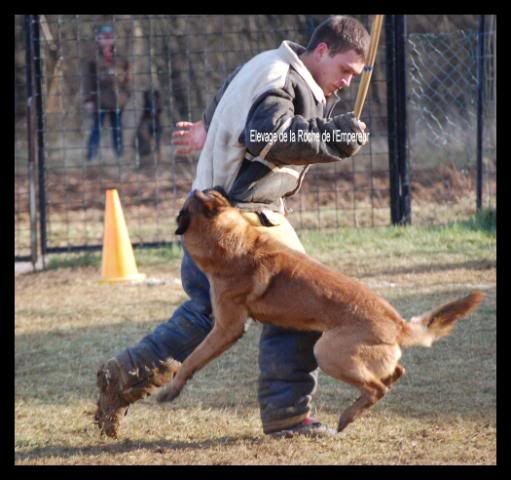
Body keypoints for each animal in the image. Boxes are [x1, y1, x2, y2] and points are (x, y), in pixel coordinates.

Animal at [158, 188, 486, 436]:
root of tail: (398, 325)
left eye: (185, 206)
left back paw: (346, 418)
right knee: (395, 373)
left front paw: (171, 389)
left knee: (377, 388)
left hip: (328, 352)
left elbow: (192, 359)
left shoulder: (226, 327)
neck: (233, 240)